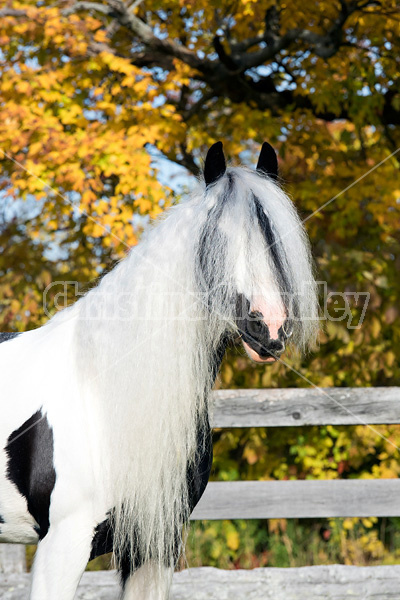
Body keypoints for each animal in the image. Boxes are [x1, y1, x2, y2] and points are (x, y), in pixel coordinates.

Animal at [0, 142, 318, 600]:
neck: (105, 397)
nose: (269, 327)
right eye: (216, 238)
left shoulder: (153, 548)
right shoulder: (62, 544)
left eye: (278, 240)